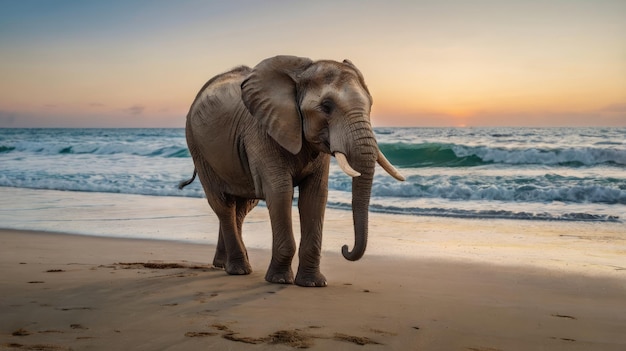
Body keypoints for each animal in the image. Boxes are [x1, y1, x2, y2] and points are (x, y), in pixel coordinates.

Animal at [179, 54, 404, 286]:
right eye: (326, 106)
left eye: (371, 104)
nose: (345, 248)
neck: (301, 73)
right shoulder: (261, 131)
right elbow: (280, 191)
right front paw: (279, 280)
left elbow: (315, 195)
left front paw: (312, 283)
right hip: (197, 146)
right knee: (223, 204)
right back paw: (238, 269)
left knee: (241, 208)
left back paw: (223, 264)